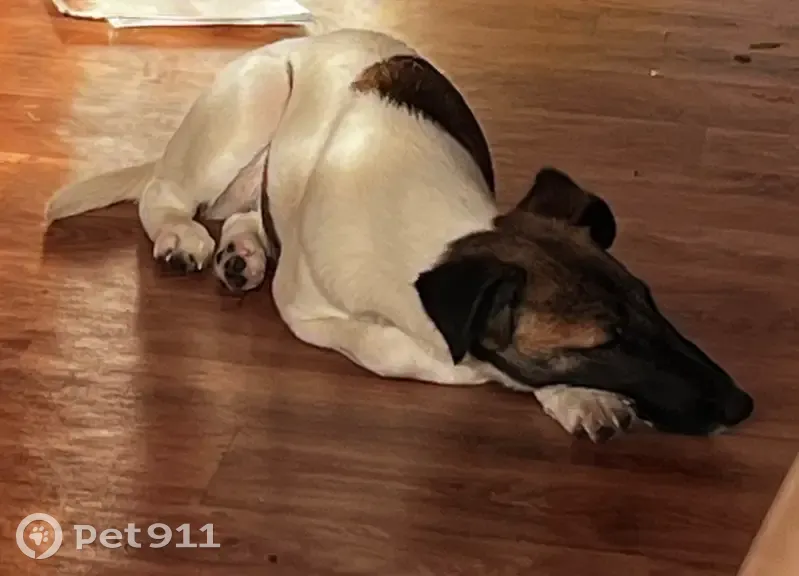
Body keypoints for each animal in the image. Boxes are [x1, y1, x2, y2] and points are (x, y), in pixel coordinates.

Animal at [45, 28, 754, 441]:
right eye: (604, 342)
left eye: (650, 303)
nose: (743, 405)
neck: (442, 234)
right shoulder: (311, 315)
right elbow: (413, 355)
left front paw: (575, 396)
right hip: (249, 109)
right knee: (163, 196)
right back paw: (183, 236)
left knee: (247, 214)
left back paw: (241, 251)